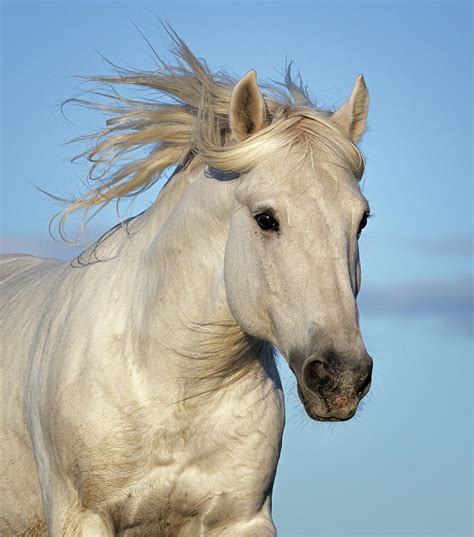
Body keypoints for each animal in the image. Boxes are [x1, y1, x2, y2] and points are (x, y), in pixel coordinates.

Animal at [0, 34, 374, 536]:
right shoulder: (83, 516)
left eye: (362, 221)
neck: (175, 382)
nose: (341, 378)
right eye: (266, 218)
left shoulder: (241, 518)